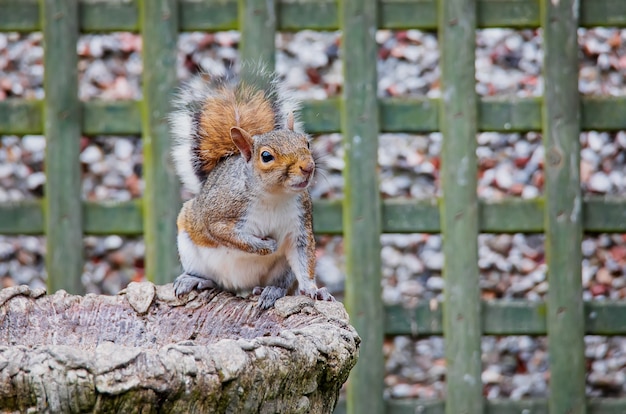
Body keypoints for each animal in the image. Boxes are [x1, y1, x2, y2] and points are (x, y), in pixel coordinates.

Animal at [166, 64, 332, 308]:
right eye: (266, 156)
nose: (308, 167)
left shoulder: (300, 224)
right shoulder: (218, 213)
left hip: (283, 271)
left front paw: (313, 290)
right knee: (214, 280)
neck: (274, 196)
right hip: (189, 246)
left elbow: (303, 259)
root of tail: (240, 286)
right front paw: (266, 246)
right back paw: (196, 280)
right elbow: (227, 234)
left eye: (307, 143)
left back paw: (271, 290)